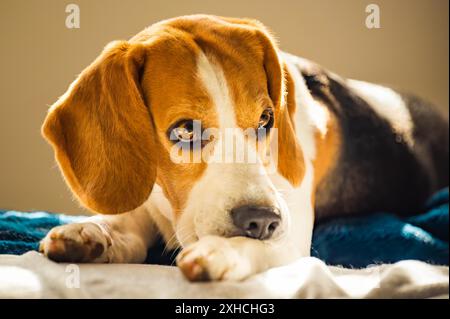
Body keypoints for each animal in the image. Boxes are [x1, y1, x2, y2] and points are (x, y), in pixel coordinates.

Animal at [40, 15, 448, 282]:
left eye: (267, 119)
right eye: (185, 130)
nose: (262, 220)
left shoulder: (292, 235)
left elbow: (265, 244)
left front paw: (224, 250)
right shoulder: (148, 202)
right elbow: (127, 222)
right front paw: (92, 232)